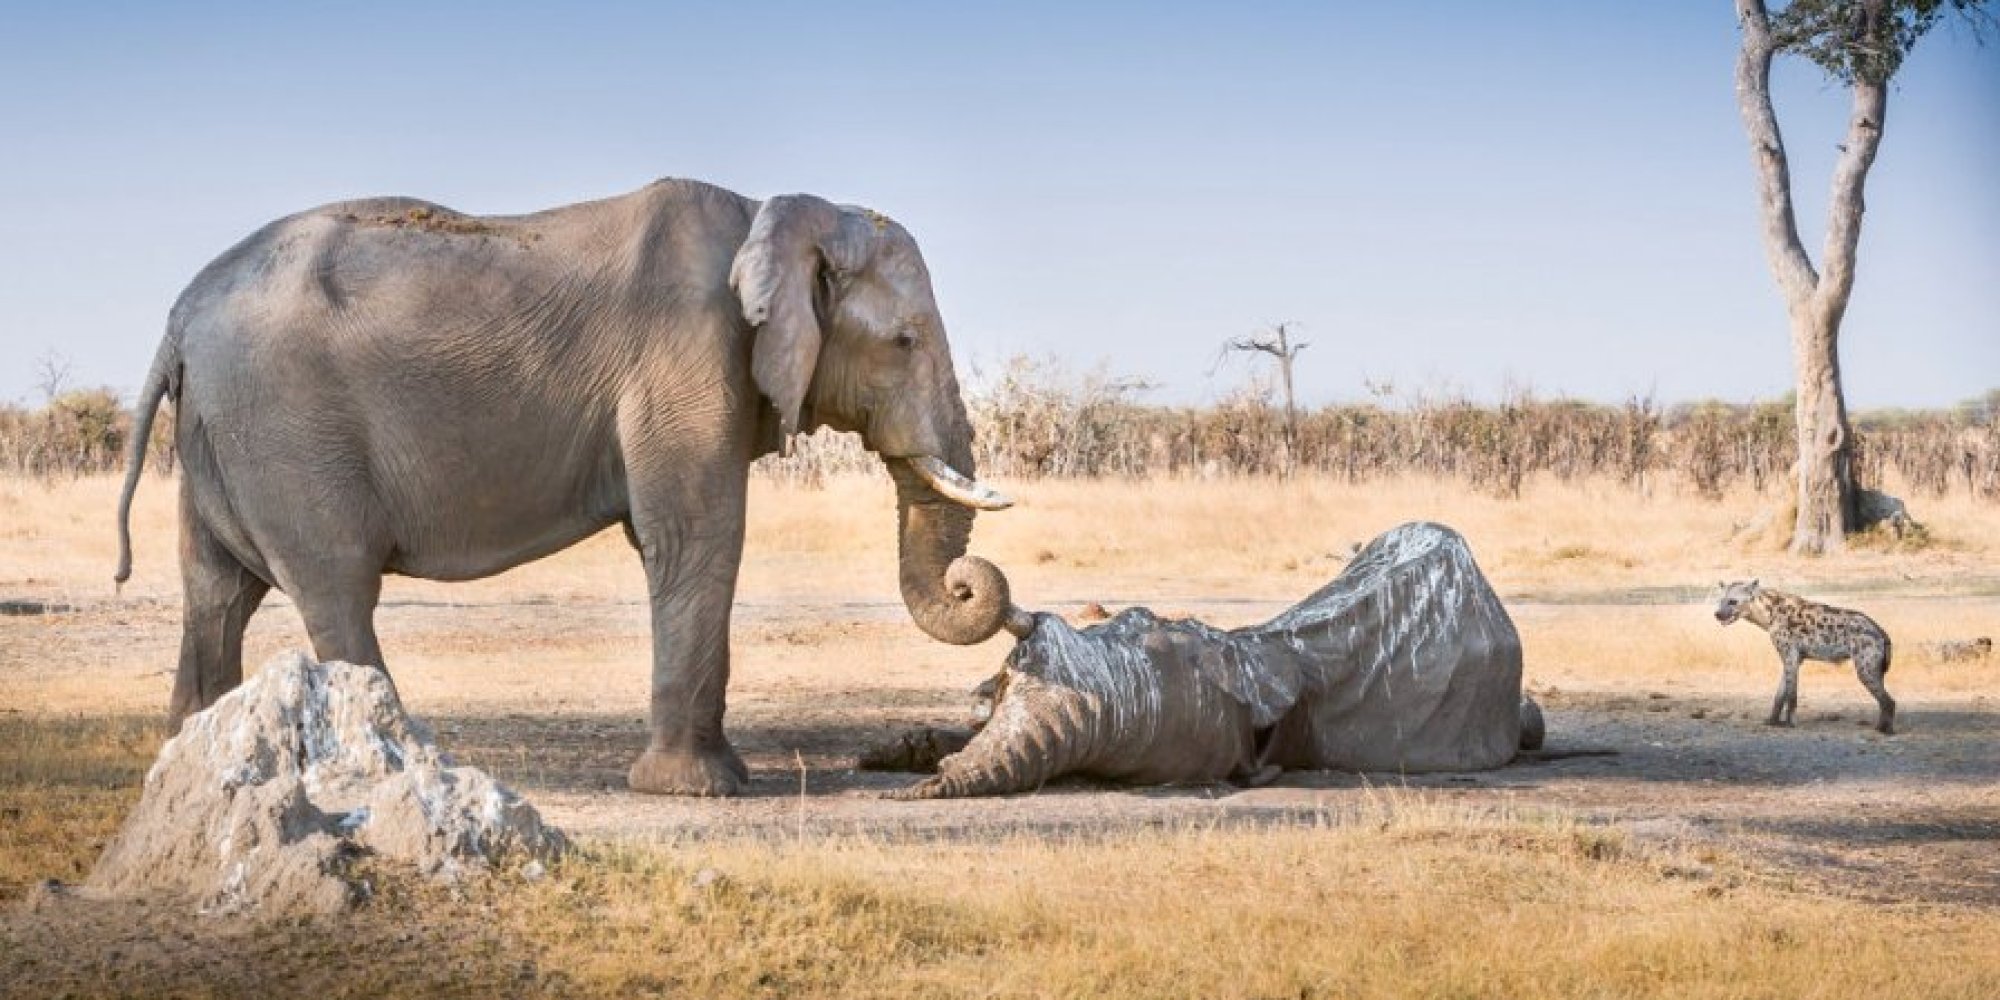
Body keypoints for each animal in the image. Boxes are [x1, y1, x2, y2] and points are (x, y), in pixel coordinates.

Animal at [112, 177, 1018, 796]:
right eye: (904, 342)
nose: (973, 588)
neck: (772, 211)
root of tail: (177, 317)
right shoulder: (688, 357)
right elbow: (696, 534)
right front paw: (702, 790)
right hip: (286, 429)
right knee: (335, 589)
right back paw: (398, 768)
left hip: (222, 435)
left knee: (216, 593)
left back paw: (191, 766)